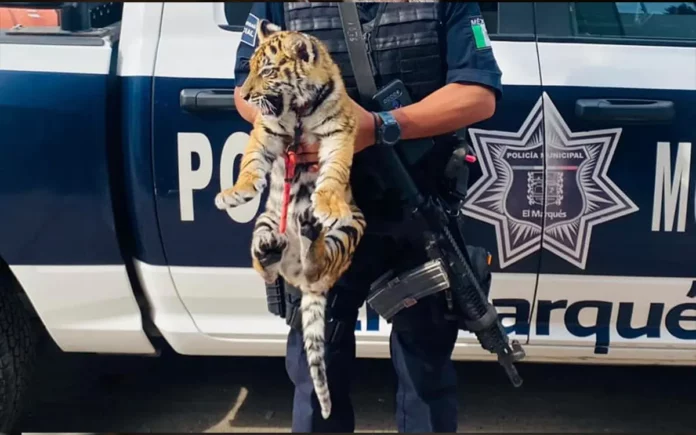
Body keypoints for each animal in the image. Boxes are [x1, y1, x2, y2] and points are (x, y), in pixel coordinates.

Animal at [214, 19, 366, 420]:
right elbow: (250, 162)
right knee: (267, 267)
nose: (245, 94)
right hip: (266, 221)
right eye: (249, 68)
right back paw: (270, 249)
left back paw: (311, 227)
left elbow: (334, 172)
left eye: (267, 71)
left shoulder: (340, 132)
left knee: (320, 262)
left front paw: (327, 201)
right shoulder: (265, 131)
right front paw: (236, 191)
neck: (297, 108)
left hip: (351, 228)